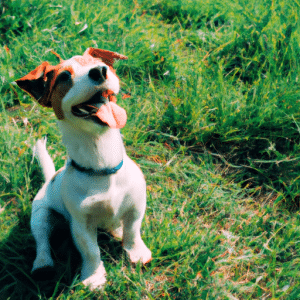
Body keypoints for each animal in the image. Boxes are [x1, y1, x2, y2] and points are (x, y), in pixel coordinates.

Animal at [15, 48, 151, 290]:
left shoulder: (136, 206)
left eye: (97, 62)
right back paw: (42, 265)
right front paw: (94, 277)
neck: (102, 166)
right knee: (42, 241)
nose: (100, 71)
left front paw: (136, 253)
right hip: (40, 215)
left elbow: (133, 232)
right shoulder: (81, 224)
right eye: (63, 77)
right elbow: (91, 251)